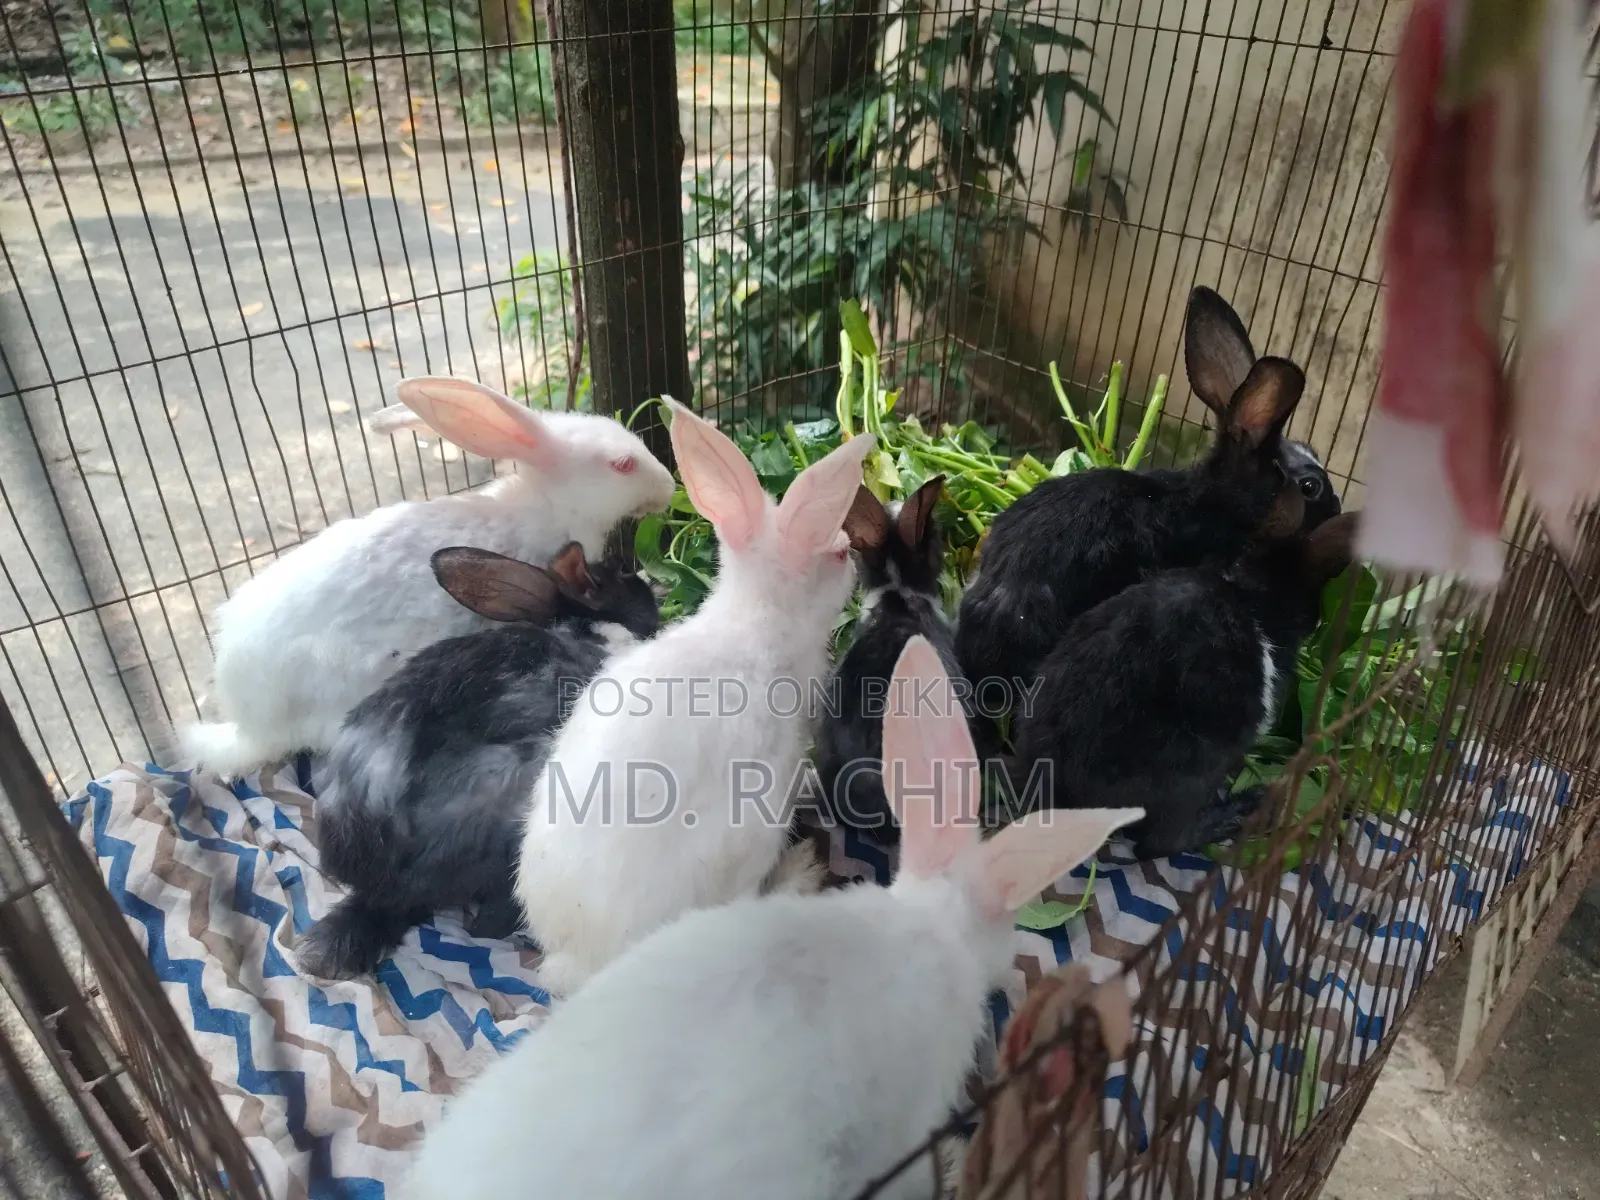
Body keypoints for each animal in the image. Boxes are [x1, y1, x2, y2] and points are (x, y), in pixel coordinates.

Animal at [515, 399, 876, 997]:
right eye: (836, 554)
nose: (851, 556)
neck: (756, 623)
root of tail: (581, 963)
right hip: (748, 836)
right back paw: (801, 873)